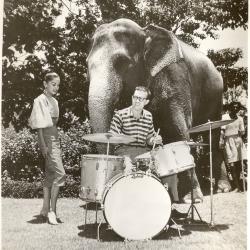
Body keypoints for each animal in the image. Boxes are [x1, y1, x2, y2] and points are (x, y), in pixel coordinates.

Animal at [86, 18, 229, 199]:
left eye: (122, 63)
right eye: (87, 65)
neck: (145, 32)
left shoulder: (175, 76)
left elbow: (180, 128)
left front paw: (194, 198)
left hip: (216, 96)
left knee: (213, 137)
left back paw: (220, 189)